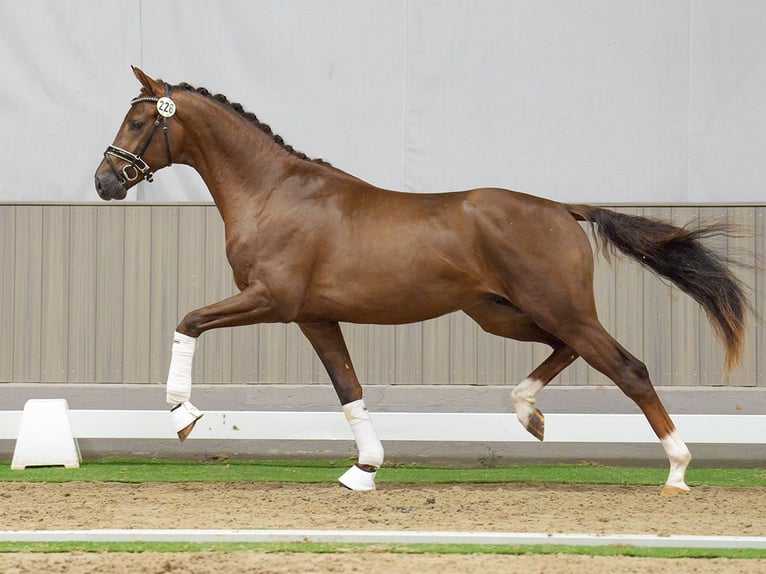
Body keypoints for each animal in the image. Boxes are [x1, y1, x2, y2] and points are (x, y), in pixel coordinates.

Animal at [94, 68, 752, 496]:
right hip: (504, 313)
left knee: (628, 368)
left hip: (558, 308)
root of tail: (564, 209)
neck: (275, 192)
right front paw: (364, 470)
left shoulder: (270, 301)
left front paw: (182, 414)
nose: (105, 182)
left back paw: (677, 470)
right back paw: (529, 414)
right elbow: (348, 388)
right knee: (569, 352)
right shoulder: (314, 315)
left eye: (138, 120)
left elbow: (188, 320)